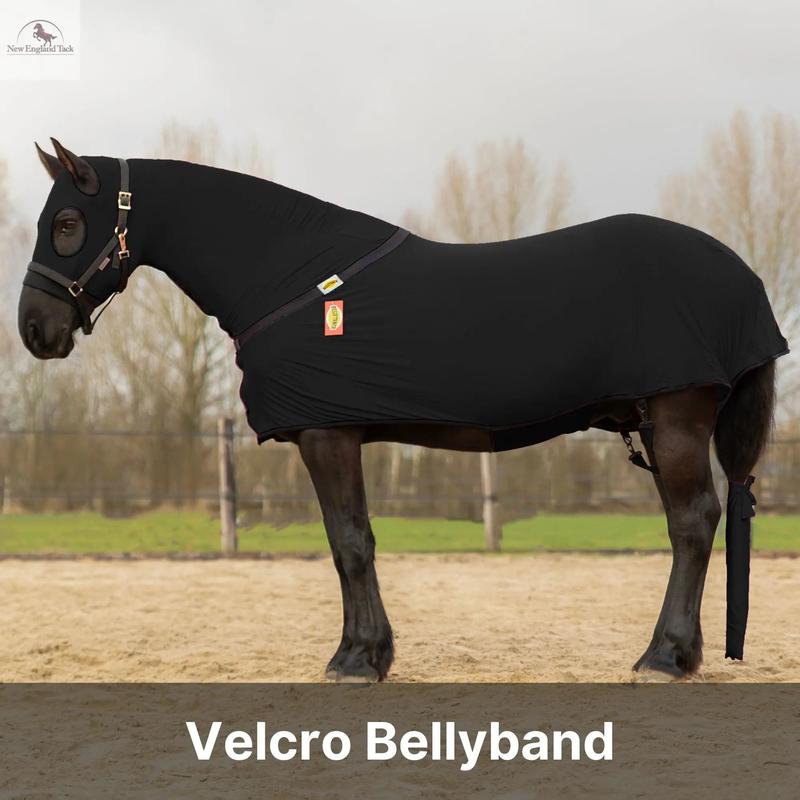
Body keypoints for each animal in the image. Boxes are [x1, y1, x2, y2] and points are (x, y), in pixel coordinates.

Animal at [19, 138, 787, 682]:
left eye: (67, 222)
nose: (35, 330)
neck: (293, 275)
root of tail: (742, 276)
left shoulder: (326, 434)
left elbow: (350, 542)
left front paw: (357, 659)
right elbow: (350, 543)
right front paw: (370, 653)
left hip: (677, 420)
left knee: (693, 524)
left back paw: (663, 658)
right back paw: (681, 654)